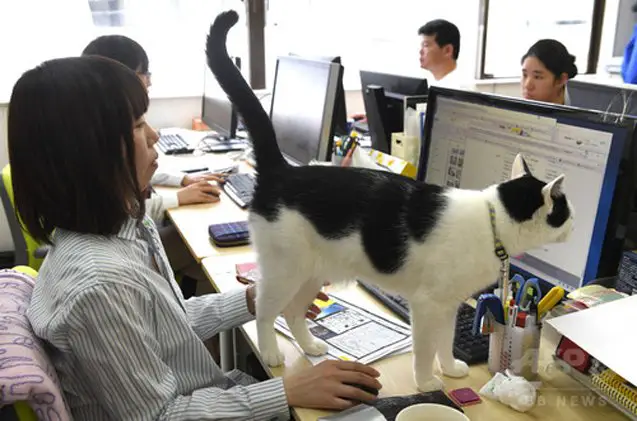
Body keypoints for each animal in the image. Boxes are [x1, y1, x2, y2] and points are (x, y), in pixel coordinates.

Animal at [206, 10, 572, 390]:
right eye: (565, 210)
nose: (574, 223)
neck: (493, 222)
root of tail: (283, 171)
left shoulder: (450, 304)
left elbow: (444, 340)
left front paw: (450, 367)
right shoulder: (426, 304)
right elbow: (424, 348)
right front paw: (426, 381)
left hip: (312, 272)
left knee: (293, 311)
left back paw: (310, 345)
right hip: (285, 270)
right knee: (265, 310)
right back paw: (270, 353)